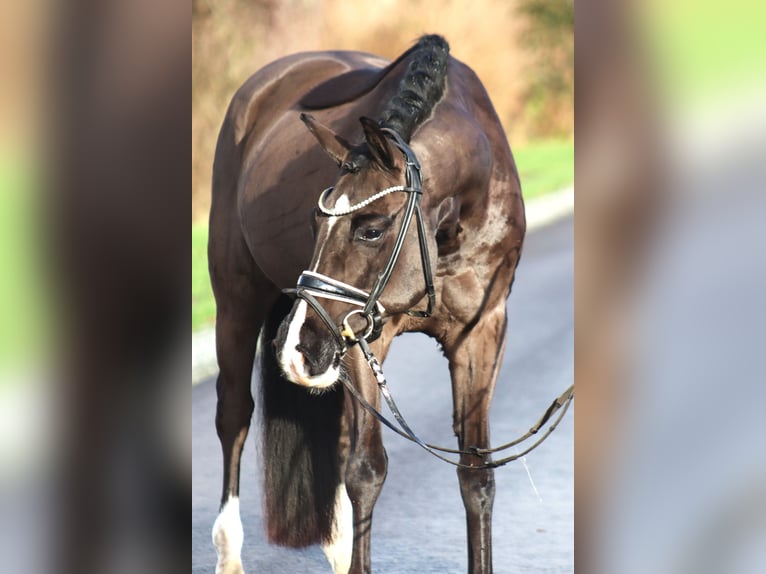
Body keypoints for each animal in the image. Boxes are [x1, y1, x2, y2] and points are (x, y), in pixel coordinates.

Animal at [207, 36, 524, 574]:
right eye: (315, 220)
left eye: (371, 229)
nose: (296, 345)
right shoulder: (362, 336)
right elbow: (367, 470)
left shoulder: (483, 331)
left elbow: (476, 472)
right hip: (237, 302)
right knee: (234, 416)